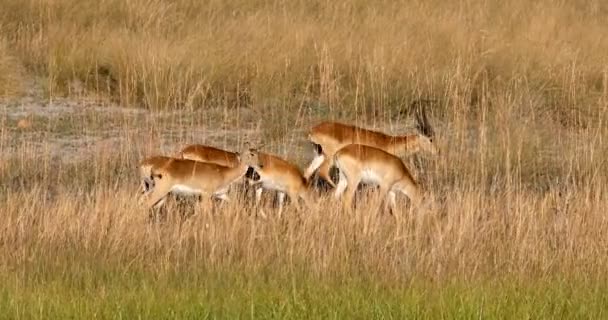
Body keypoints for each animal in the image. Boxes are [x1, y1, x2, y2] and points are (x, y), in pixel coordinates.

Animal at [304, 102, 436, 188]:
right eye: (430, 139)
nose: (437, 151)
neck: (388, 142)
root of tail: (313, 131)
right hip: (330, 157)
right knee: (323, 172)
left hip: (319, 155)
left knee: (308, 172)